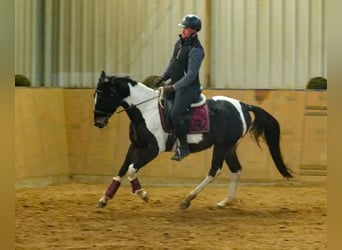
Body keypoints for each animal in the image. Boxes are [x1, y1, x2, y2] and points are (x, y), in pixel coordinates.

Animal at [93, 70, 294, 209]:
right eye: (95, 95)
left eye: (104, 95)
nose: (98, 122)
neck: (146, 110)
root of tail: (243, 105)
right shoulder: (135, 146)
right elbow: (122, 169)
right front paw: (104, 198)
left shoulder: (152, 149)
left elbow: (131, 170)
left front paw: (143, 194)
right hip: (230, 147)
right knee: (236, 170)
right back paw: (224, 202)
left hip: (222, 146)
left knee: (214, 171)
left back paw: (187, 199)